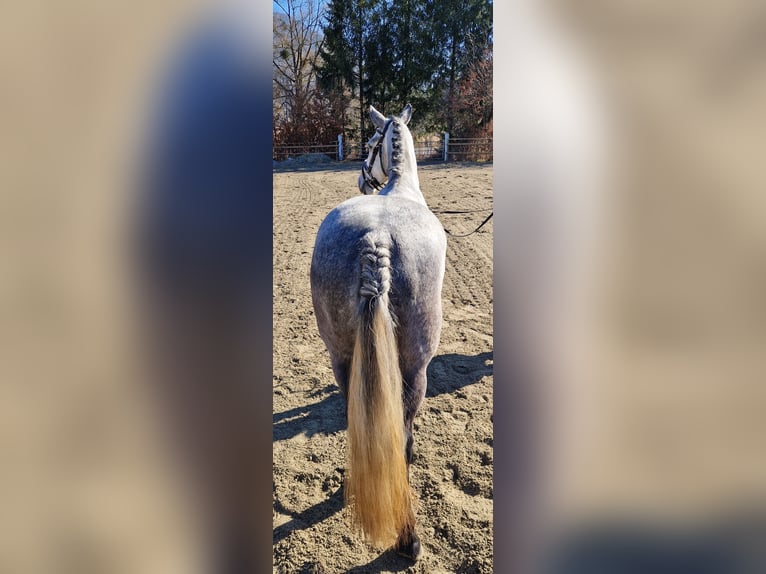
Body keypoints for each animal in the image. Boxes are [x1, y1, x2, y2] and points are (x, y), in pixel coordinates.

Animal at [310, 104, 448, 564]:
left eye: (370, 144)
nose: (361, 179)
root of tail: (376, 238)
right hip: (416, 367)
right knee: (399, 435)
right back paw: (409, 539)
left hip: (341, 357)